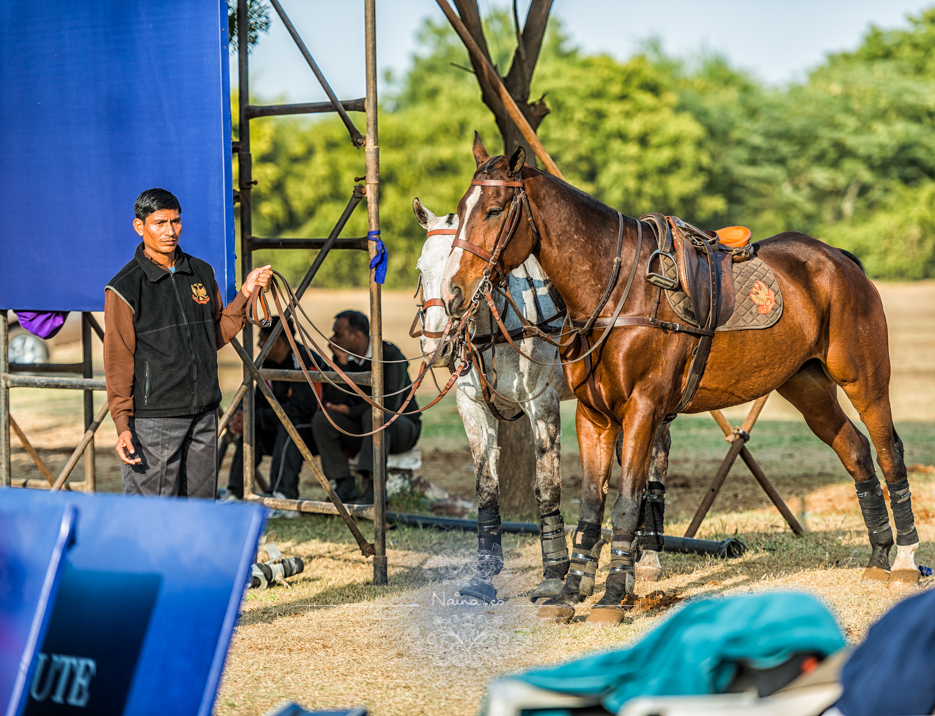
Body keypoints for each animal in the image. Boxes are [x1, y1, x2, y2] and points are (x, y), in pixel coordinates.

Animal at [442, 134, 916, 620]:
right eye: (460, 209)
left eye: (494, 210)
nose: (454, 293)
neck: (614, 289)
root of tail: (841, 259)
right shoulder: (593, 415)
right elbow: (592, 505)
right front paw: (570, 592)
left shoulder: (642, 409)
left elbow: (627, 503)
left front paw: (612, 596)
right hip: (807, 387)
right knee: (855, 449)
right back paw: (878, 556)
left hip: (865, 381)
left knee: (888, 450)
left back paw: (905, 561)